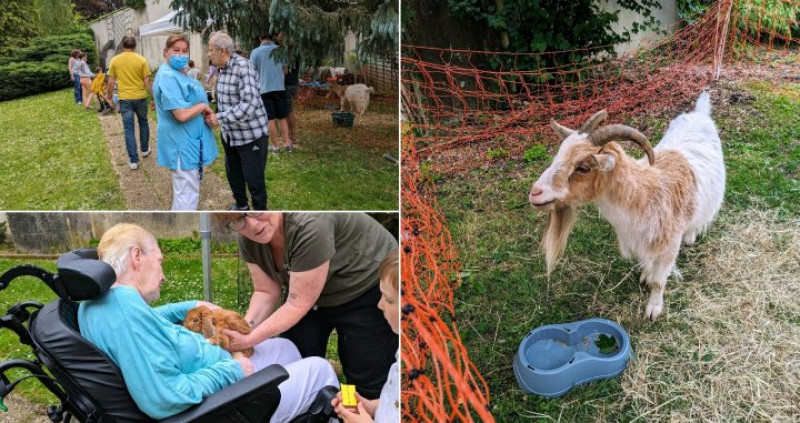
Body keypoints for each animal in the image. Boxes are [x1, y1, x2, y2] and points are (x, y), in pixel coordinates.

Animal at [528, 91, 728, 320]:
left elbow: (659, 282)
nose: (535, 193)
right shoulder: (638, 241)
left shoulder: (669, 245)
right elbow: (647, 262)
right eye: (558, 155)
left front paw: (653, 309)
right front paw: (646, 275)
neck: (645, 193)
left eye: (583, 168)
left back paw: (691, 236)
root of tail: (700, 113)